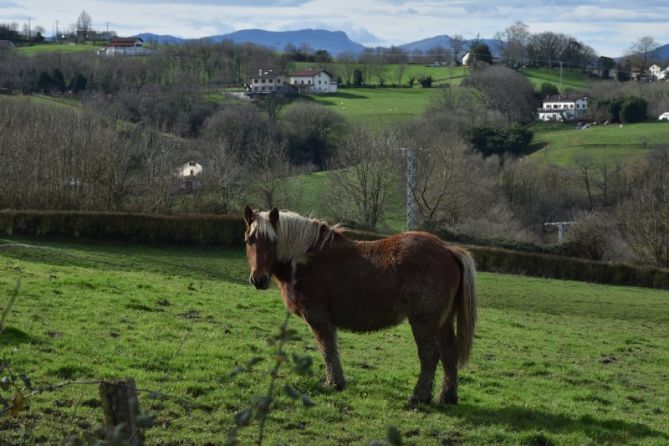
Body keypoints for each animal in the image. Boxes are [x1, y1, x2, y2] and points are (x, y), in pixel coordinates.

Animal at [243, 206, 478, 404]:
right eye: (249, 240)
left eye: (272, 241)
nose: (258, 280)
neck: (304, 259)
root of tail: (447, 249)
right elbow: (330, 349)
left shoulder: (318, 317)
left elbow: (327, 349)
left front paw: (334, 383)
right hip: (443, 321)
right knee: (449, 353)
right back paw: (447, 396)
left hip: (424, 321)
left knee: (430, 355)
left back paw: (419, 397)